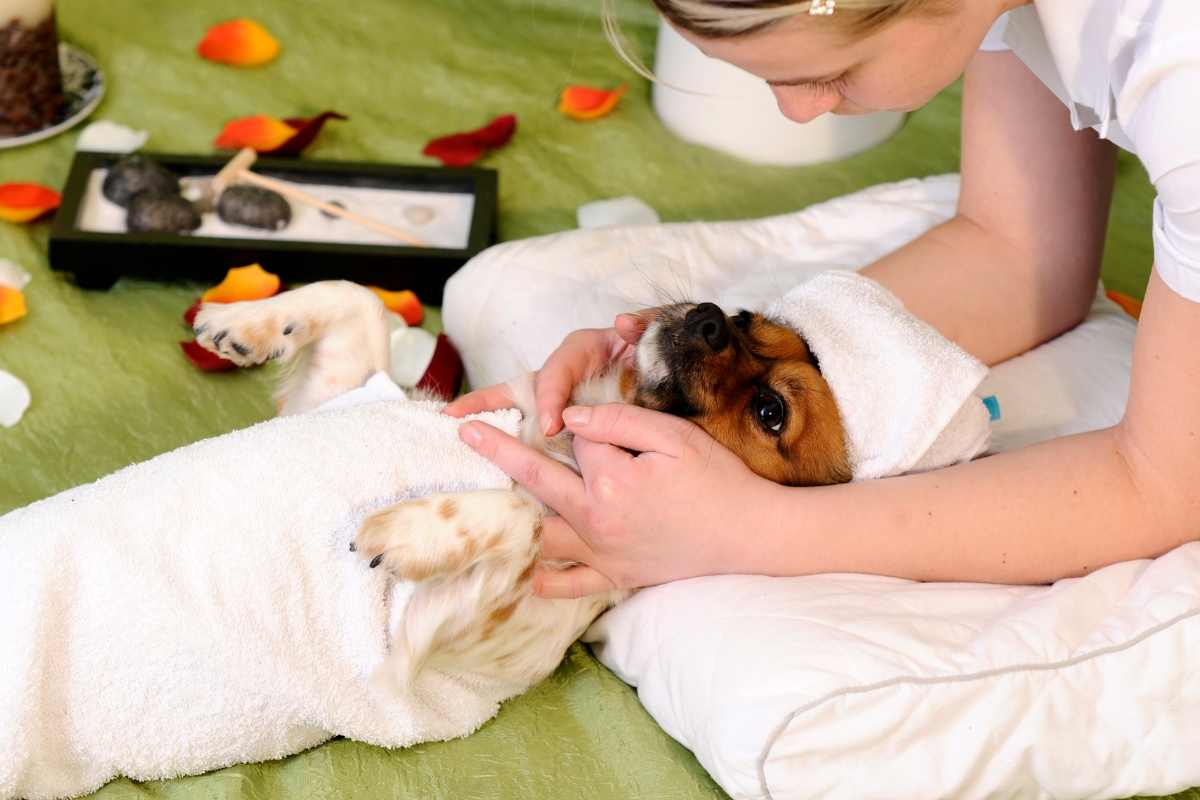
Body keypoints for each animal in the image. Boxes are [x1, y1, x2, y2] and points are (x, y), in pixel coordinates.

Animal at [192, 284, 854, 695]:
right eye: (743, 320)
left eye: (771, 411)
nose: (710, 315)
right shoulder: (341, 394)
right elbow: (359, 296)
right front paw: (241, 321)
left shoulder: (460, 632)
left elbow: (521, 513)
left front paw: (408, 532)